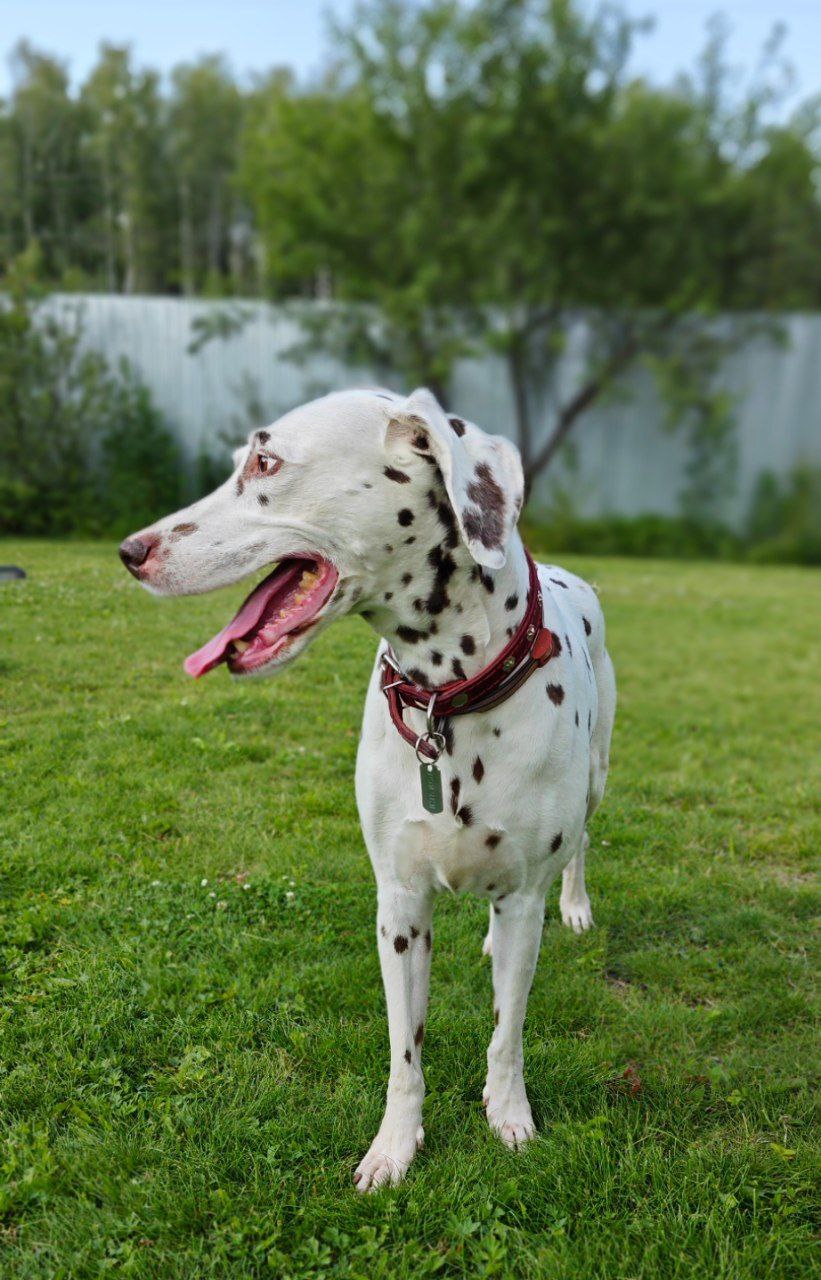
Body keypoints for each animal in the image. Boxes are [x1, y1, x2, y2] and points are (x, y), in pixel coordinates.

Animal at [118, 384, 612, 1192]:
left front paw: (509, 1113)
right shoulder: (400, 908)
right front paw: (395, 1146)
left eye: (265, 462)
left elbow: (506, 1033)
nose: (131, 552)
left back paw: (572, 907)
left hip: (595, 781)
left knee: (579, 850)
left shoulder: (520, 899)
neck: (448, 703)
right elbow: (405, 1054)